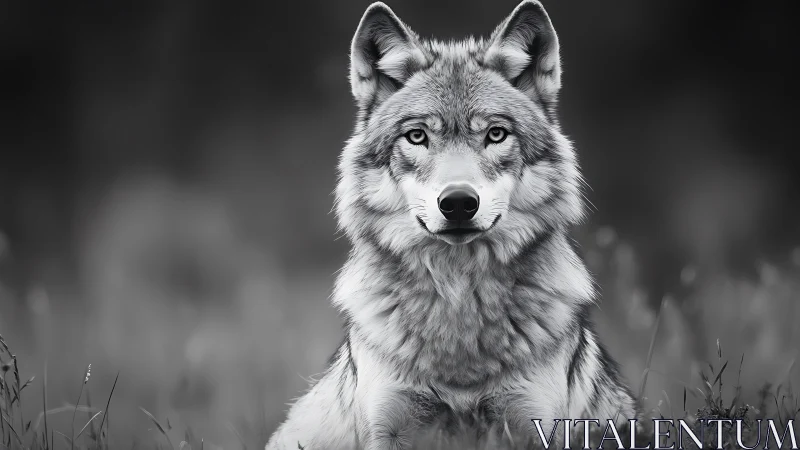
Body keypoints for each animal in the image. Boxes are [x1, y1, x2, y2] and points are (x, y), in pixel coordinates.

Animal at [266, 1, 637, 448]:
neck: (459, 298)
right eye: (417, 137)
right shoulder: (388, 428)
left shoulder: (531, 424)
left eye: (496, 134)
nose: (458, 202)